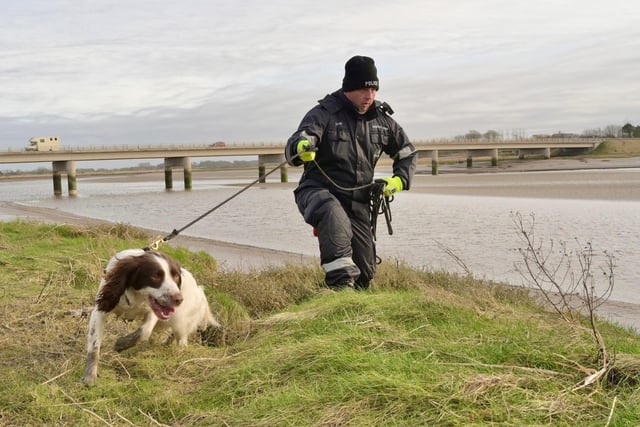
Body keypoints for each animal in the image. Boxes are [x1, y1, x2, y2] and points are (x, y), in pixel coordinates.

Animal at [82, 249, 220, 386]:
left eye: (176, 276)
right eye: (155, 276)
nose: (179, 299)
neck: (136, 296)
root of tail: (199, 289)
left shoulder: (153, 312)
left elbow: (144, 331)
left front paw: (121, 344)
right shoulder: (101, 309)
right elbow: (94, 346)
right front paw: (90, 376)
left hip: (180, 321)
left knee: (181, 338)